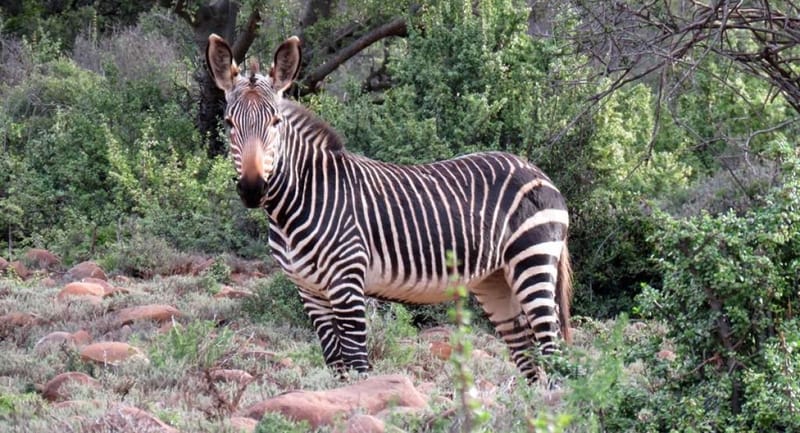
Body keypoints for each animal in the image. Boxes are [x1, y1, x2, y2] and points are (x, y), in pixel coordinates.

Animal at [206, 34, 573, 382]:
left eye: (276, 122)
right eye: (228, 123)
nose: (253, 188)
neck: (300, 202)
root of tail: (538, 171)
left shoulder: (347, 282)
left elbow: (357, 366)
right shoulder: (309, 291)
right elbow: (336, 366)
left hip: (533, 260)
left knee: (552, 351)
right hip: (495, 280)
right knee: (528, 359)